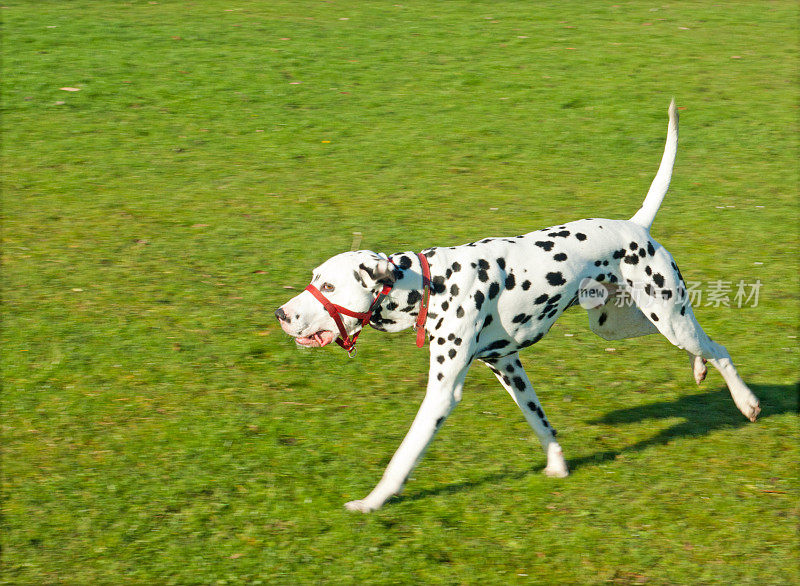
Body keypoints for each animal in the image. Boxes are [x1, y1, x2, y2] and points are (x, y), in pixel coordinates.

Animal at [276, 101, 764, 512]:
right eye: (314, 278)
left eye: (328, 284)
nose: (281, 314)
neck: (432, 284)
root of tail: (636, 225)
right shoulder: (507, 366)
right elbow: (542, 424)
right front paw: (558, 466)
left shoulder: (442, 393)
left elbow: (404, 455)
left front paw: (372, 501)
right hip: (621, 323)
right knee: (702, 344)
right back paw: (699, 369)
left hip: (668, 317)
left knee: (719, 348)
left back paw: (746, 402)